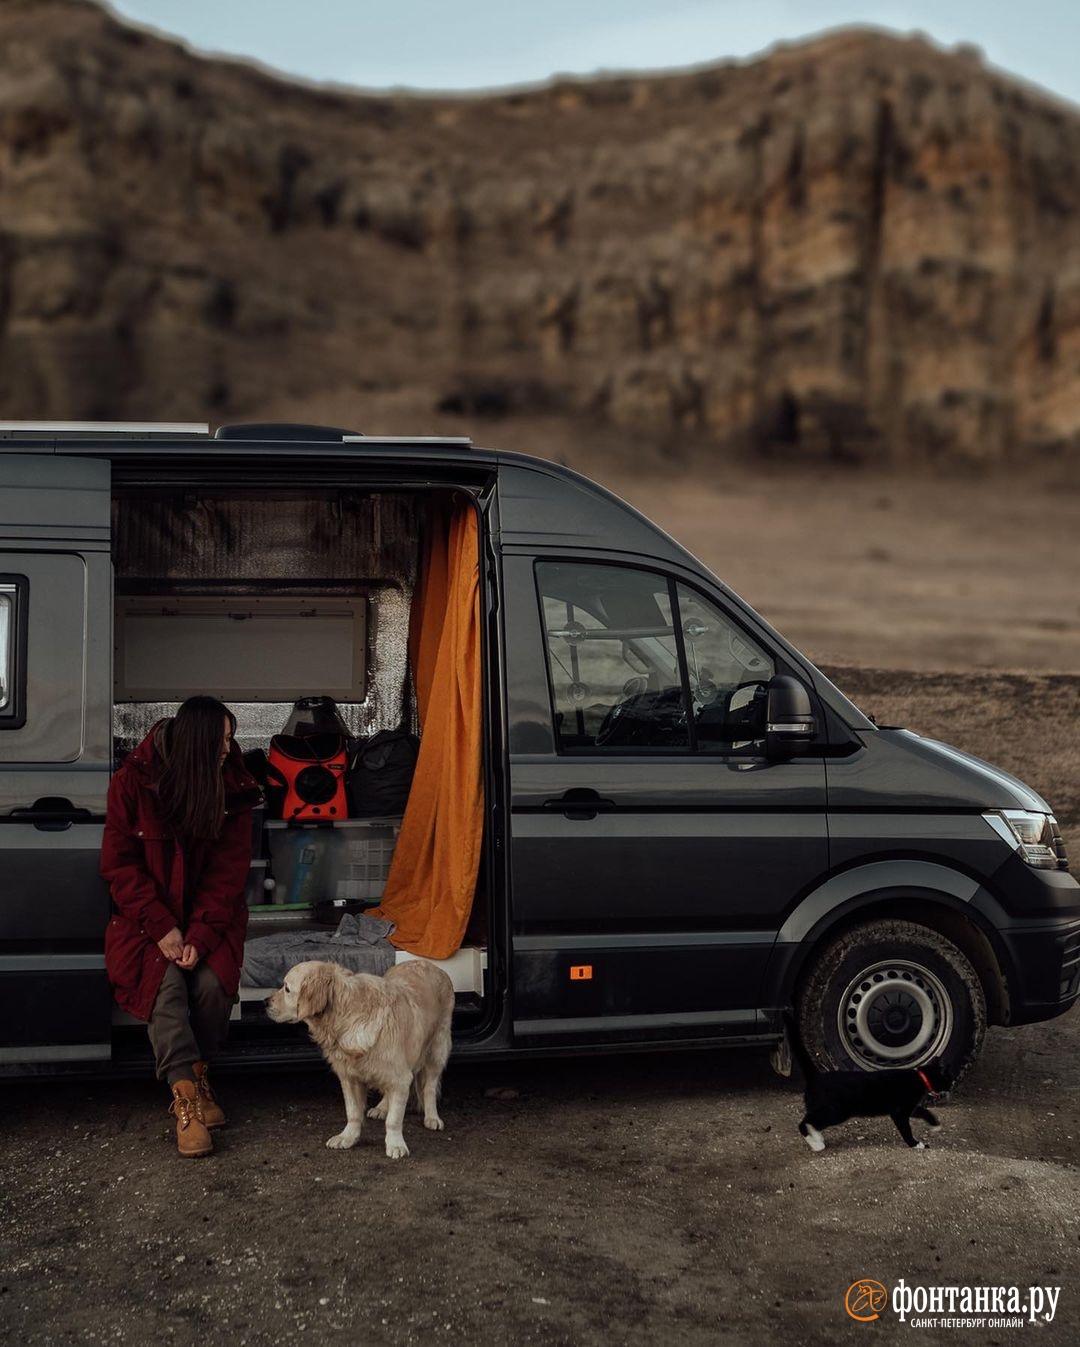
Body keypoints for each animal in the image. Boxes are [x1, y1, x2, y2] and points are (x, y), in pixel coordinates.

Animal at [272, 959, 457, 1158]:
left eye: (287, 988)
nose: (265, 1002)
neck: (346, 1016)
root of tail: (428, 963)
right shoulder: (350, 1077)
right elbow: (353, 1112)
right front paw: (347, 1137)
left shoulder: (400, 1077)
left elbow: (394, 1119)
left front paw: (395, 1144)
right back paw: (381, 1108)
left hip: (437, 1048)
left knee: (429, 1087)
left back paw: (432, 1117)